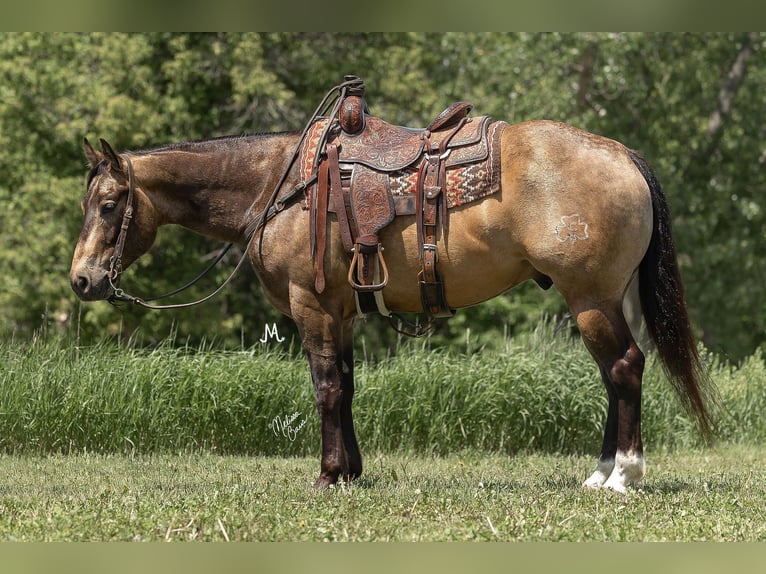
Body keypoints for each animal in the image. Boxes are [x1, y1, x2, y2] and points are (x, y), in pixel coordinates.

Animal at [69, 81, 716, 496]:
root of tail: (622, 154)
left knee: (624, 368)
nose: (82, 279)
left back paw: (624, 475)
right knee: (615, 374)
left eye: (109, 205)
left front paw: (328, 475)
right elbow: (347, 387)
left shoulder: (310, 305)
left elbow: (326, 388)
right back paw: (600, 472)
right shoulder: (340, 311)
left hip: (590, 299)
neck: (278, 187)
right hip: (606, 299)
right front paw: (352, 471)